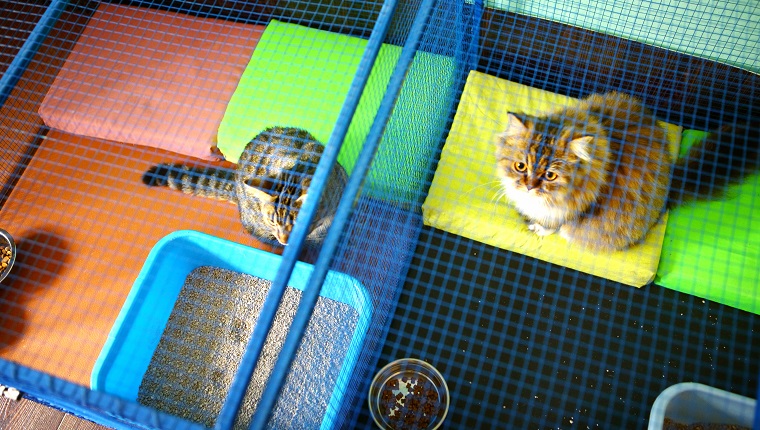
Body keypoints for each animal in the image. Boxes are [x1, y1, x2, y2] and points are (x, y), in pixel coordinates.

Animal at [496, 92, 756, 250]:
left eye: (550, 175)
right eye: (521, 166)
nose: (529, 187)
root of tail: (671, 180)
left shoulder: (575, 211)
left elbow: (556, 225)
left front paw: (539, 228)